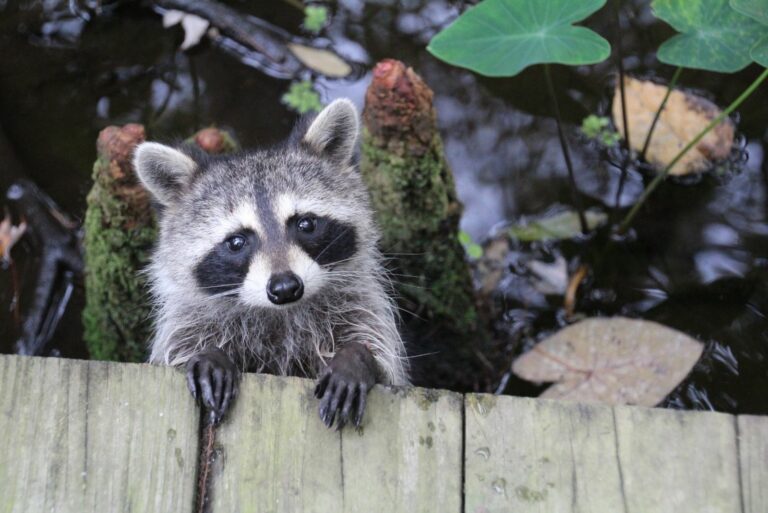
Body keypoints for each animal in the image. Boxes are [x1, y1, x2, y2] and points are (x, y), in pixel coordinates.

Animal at [133, 99, 408, 428]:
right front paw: (209, 354)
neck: (280, 315)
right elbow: (179, 348)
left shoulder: (355, 303)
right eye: (236, 242)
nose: (285, 287)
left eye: (306, 224)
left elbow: (382, 356)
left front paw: (355, 357)